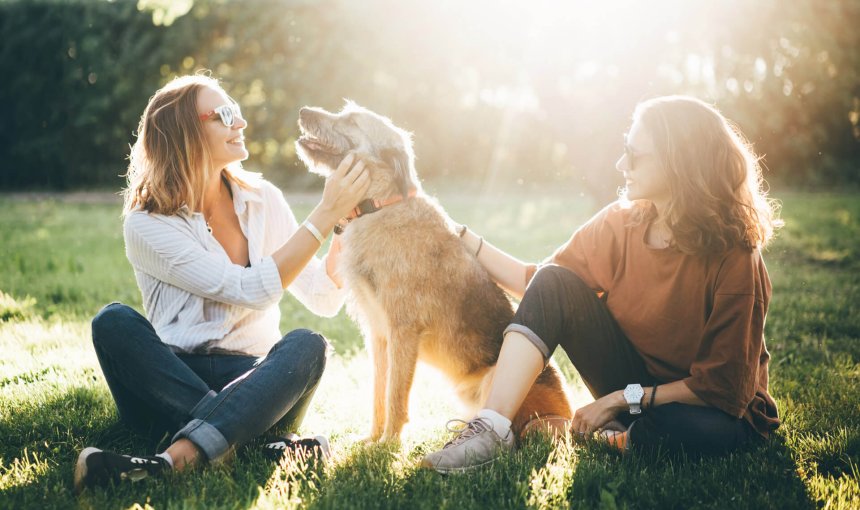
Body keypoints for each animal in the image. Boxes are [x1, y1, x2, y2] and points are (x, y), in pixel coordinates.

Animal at [296, 101, 572, 440]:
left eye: (351, 120)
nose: (303, 110)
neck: (382, 206)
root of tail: (569, 415)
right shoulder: (379, 334)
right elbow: (379, 393)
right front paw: (372, 439)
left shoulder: (403, 329)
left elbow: (395, 395)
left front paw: (388, 444)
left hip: (496, 381)